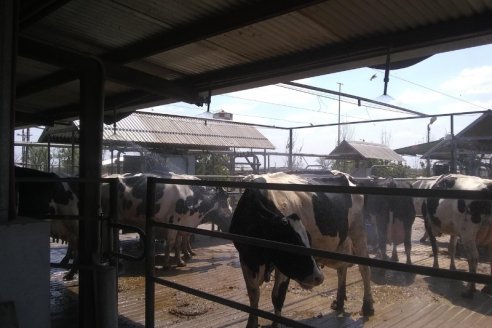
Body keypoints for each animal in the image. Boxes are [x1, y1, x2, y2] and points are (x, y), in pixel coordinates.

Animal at [101, 172, 233, 266]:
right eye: (229, 213)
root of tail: (108, 177)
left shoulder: (183, 223)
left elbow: (180, 241)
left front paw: (182, 258)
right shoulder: (173, 220)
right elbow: (171, 242)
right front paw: (169, 263)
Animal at [230, 172, 372, 328]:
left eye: (308, 240)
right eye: (293, 244)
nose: (319, 277)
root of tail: (347, 176)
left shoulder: (282, 267)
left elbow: (277, 297)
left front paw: (276, 324)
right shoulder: (246, 259)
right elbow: (253, 294)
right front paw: (252, 323)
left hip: (358, 230)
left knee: (364, 268)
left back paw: (367, 306)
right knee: (342, 267)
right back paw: (339, 302)